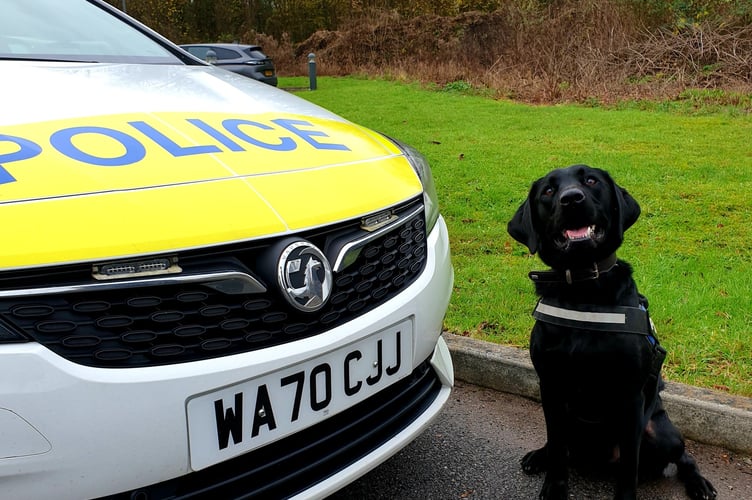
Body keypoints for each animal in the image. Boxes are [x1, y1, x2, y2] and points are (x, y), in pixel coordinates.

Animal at [508, 165, 712, 500]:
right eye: (548, 191)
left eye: (591, 180)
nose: (571, 199)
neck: (583, 291)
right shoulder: (550, 386)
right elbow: (557, 450)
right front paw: (554, 487)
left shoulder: (630, 397)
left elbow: (629, 465)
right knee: (559, 445)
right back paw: (540, 455)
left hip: (660, 431)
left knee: (684, 457)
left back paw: (699, 483)